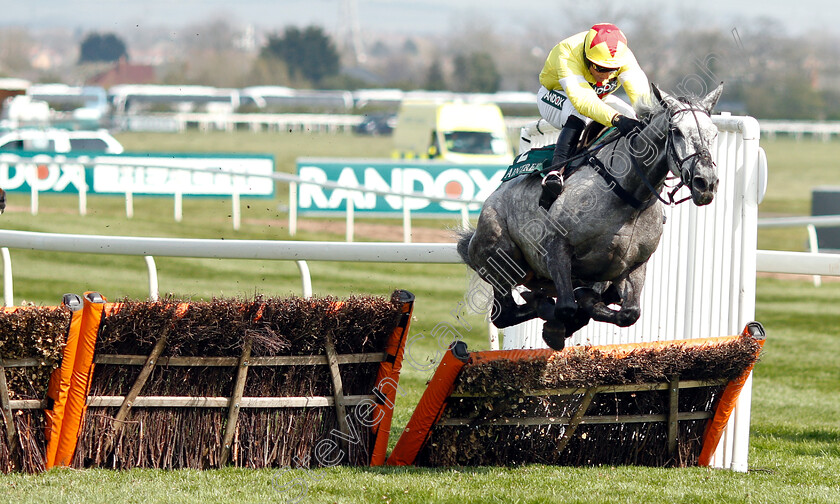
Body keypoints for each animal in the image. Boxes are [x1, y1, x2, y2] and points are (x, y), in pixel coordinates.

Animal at [456, 83, 724, 350]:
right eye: (676, 132)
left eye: (714, 134)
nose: (706, 182)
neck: (627, 196)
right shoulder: (557, 249)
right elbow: (566, 307)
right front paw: (559, 322)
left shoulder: (635, 266)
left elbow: (628, 313)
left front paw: (583, 307)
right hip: (501, 256)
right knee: (505, 314)